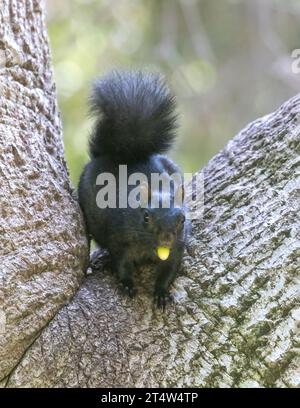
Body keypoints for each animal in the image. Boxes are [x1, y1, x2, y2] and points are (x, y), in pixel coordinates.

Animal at [78, 70, 189, 308]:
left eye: (183, 219)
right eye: (146, 216)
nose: (166, 238)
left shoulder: (178, 247)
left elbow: (170, 270)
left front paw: (161, 292)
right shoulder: (120, 239)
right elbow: (122, 263)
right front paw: (127, 284)